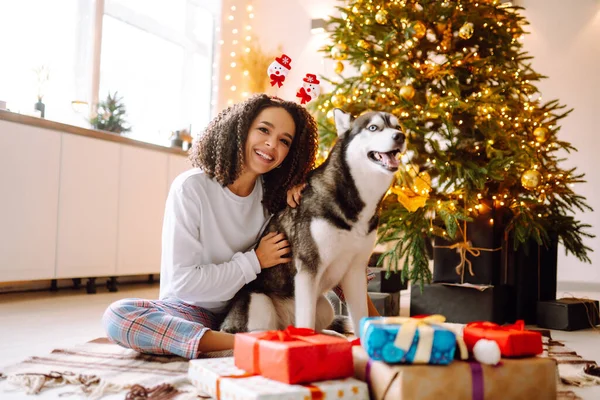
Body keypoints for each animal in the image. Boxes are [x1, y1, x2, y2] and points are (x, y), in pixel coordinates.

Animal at [221, 108, 408, 334]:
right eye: (373, 127)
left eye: (397, 127)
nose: (400, 137)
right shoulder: (308, 267)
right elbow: (307, 321)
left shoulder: (355, 271)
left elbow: (360, 316)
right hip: (259, 303)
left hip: (324, 306)